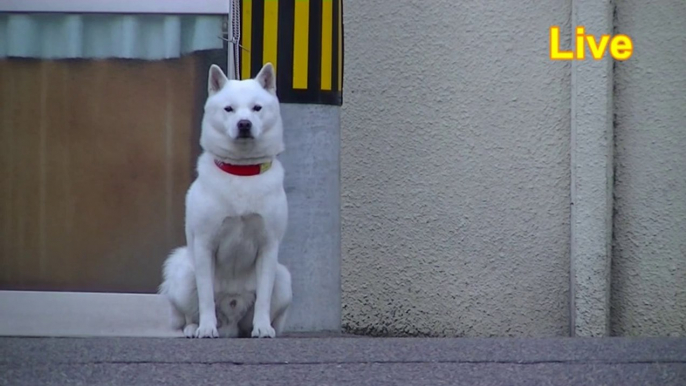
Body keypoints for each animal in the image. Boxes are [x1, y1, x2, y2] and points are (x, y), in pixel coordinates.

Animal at [161, 62, 292, 338]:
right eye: (229, 109)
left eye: (256, 108)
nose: (244, 124)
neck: (241, 172)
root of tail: (231, 325)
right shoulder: (205, 244)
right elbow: (205, 296)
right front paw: (206, 328)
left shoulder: (268, 245)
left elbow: (264, 297)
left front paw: (262, 327)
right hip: (185, 275)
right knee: (189, 313)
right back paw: (195, 328)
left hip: (284, 278)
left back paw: (258, 328)